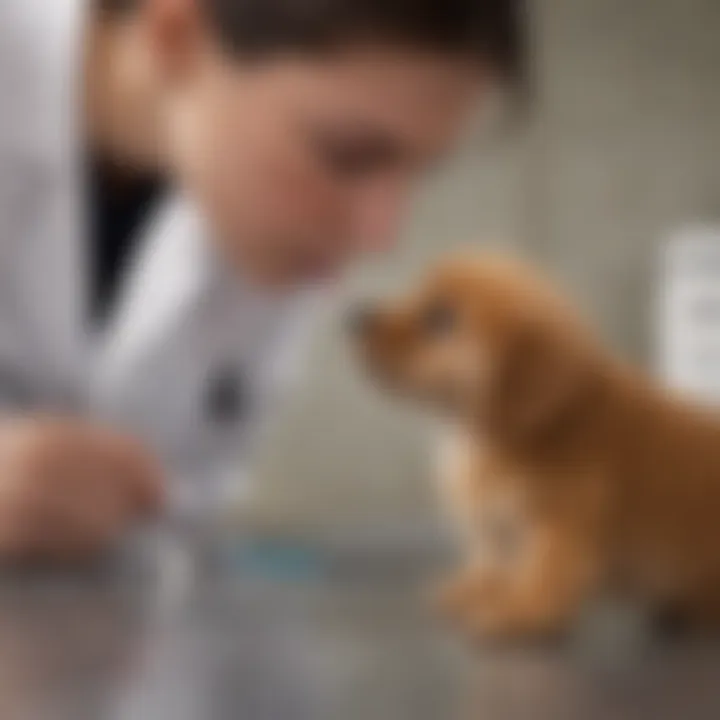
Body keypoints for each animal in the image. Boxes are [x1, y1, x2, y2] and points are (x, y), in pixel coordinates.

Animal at [352, 252, 720, 640]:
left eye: (441, 317)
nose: (355, 318)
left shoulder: (561, 524)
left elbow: (541, 578)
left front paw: (517, 614)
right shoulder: (497, 528)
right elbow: (490, 563)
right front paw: (475, 590)